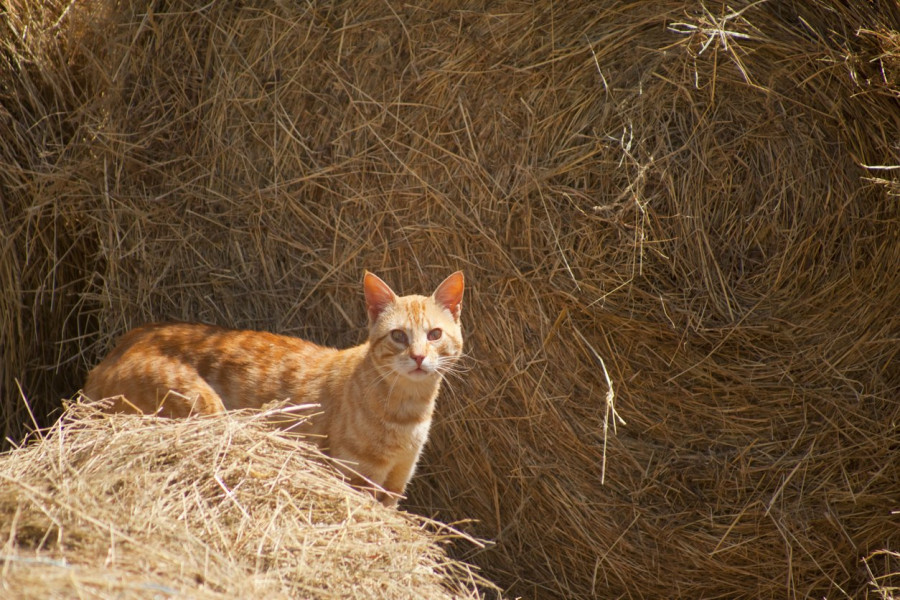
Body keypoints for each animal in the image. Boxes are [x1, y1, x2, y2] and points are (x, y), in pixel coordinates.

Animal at [82, 272, 464, 506]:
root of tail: (113, 351)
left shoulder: (396, 485)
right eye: (398, 336)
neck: (408, 411)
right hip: (206, 406)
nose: (418, 357)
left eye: (434, 335)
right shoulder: (357, 477)